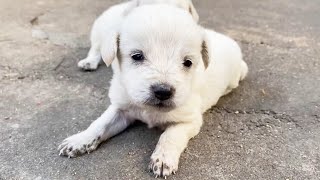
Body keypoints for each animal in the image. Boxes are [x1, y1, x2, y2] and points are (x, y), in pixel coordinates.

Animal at [60, 3, 249, 177]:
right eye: (137, 56)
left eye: (188, 62)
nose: (163, 91)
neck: (149, 109)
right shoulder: (121, 108)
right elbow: (100, 123)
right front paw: (80, 140)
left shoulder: (189, 121)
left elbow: (170, 136)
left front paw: (163, 158)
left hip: (235, 76)